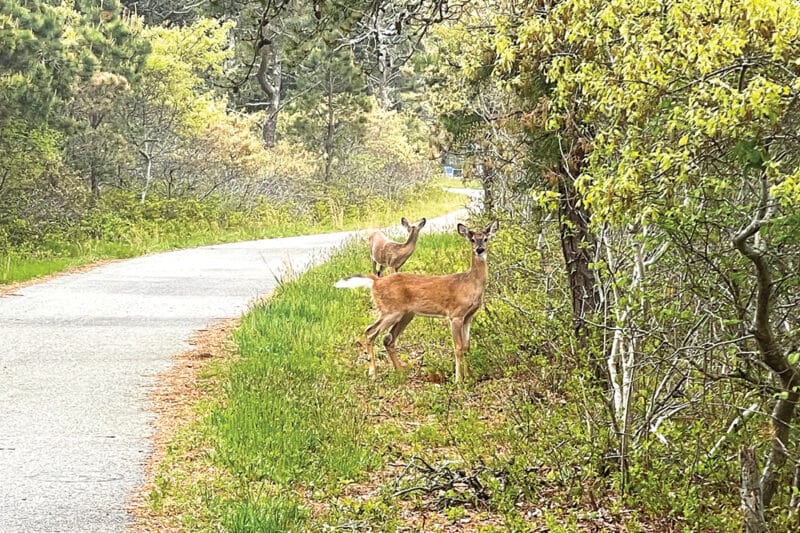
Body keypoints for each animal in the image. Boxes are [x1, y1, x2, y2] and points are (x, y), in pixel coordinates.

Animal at [334, 220, 496, 382]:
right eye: (472, 239)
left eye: (486, 238)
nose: (479, 249)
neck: (470, 283)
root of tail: (375, 282)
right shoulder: (455, 314)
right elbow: (458, 347)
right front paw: (458, 380)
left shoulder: (469, 316)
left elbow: (467, 346)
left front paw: (470, 376)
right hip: (390, 310)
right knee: (370, 331)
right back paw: (373, 373)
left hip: (406, 314)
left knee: (388, 338)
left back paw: (400, 372)